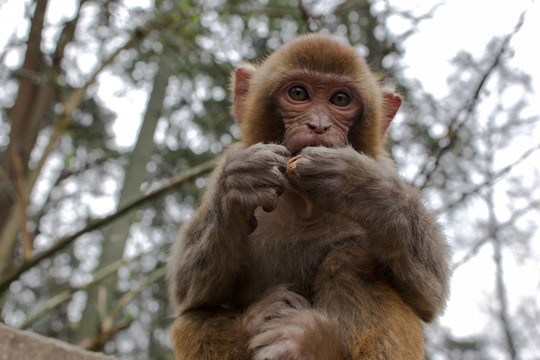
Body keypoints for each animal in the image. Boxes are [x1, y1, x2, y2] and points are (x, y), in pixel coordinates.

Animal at [167, 33, 450, 360]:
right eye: (299, 93)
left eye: (340, 100)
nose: (318, 125)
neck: (303, 204)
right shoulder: (231, 160)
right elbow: (190, 292)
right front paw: (239, 185)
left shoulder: (383, 165)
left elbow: (430, 292)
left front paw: (356, 183)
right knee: (192, 320)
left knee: (349, 259)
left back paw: (315, 342)